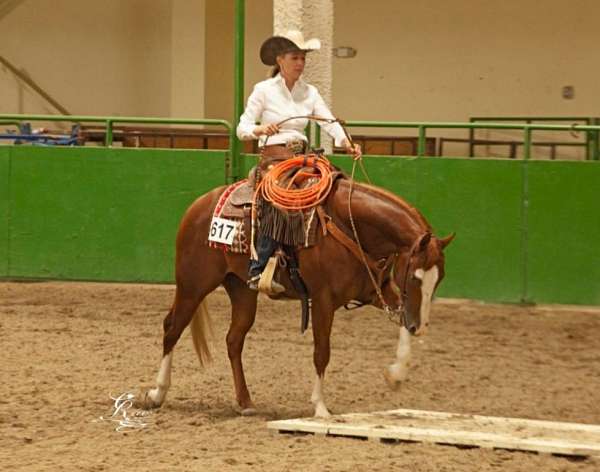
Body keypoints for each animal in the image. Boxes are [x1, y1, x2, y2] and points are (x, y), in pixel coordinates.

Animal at [144, 177, 454, 416]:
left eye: (439, 279)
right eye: (415, 277)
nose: (420, 327)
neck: (348, 224)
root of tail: (198, 204)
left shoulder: (374, 291)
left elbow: (400, 319)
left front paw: (396, 374)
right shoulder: (323, 300)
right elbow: (322, 352)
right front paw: (320, 407)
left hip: (242, 290)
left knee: (233, 340)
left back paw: (245, 402)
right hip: (193, 285)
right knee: (172, 327)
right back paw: (157, 394)